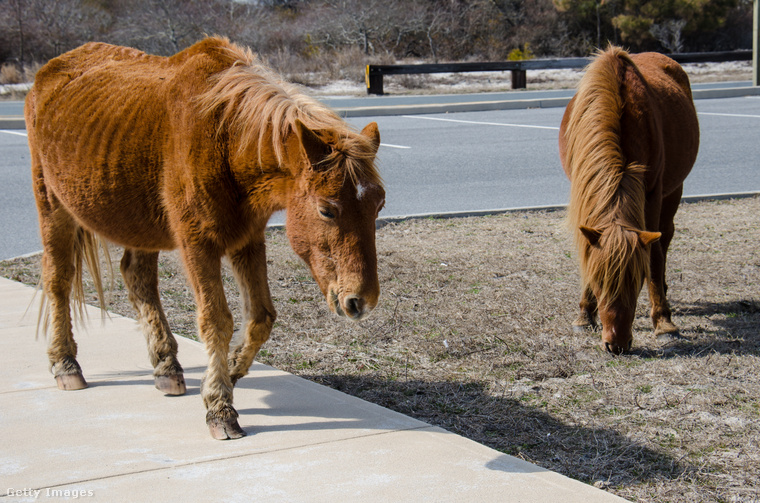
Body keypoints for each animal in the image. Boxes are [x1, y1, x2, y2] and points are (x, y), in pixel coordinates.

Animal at [25, 38, 386, 440]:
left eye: (379, 205)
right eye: (326, 210)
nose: (361, 301)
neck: (226, 137)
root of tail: (48, 72)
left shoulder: (248, 240)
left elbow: (261, 317)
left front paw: (231, 369)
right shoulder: (198, 244)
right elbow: (216, 320)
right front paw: (219, 407)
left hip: (138, 227)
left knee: (137, 278)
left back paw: (167, 367)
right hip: (53, 206)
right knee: (58, 280)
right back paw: (66, 363)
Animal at [560, 46, 700, 354]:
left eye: (636, 281)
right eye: (598, 281)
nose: (617, 344)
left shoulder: (652, 193)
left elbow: (655, 254)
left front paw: (664, 323)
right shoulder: (582, 188)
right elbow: (587, 248)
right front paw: (584, 314)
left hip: (673, 191)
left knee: (665, 237)